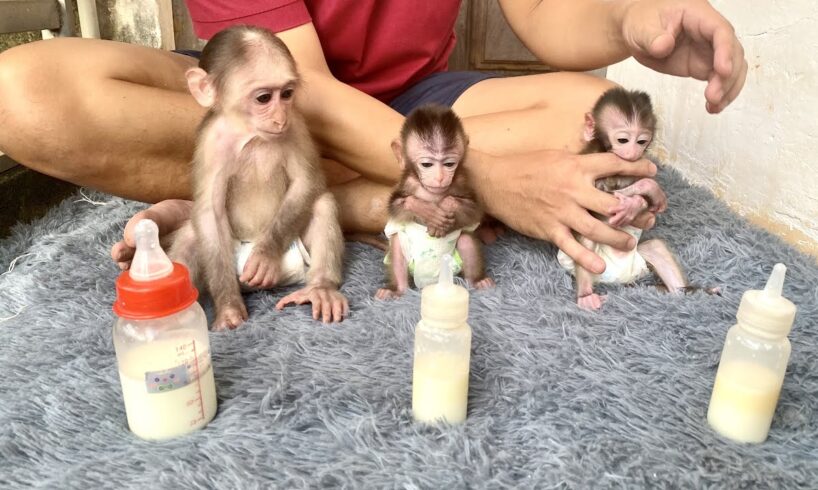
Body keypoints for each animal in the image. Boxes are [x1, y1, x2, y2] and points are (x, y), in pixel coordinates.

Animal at [167, 24, 346, 328]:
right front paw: (228, 309)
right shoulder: (210, 142)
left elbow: (307, 182)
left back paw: (320, 289)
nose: (280, 118)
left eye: (286, 94)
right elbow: (209, 211)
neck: (250, 135)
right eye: (264, 98)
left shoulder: (297, 124)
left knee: (322, 204)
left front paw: (264, 256)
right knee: (192, 233)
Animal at [374, 104, 494, 298]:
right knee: (397, 243)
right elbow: (397, 206)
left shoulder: (461, 180)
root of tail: (429, 282)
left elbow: (473, 208)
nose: (439, 178)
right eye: (427, 165)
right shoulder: (408, 182)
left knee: (466, 240)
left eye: (449, 164)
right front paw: (429, 211)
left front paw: (445, 206)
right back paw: (397, 290)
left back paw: (477, 281)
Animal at [556, 88, 704, 310]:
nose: (634, 151)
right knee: (588, 241)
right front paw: (642, 196)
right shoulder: (593, 160)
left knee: (656, 247)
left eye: (641, 141)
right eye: (623, 140)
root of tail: (621, 277)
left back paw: (684, 294)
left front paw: (637, 203)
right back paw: (586, 296)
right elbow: (599, 203)